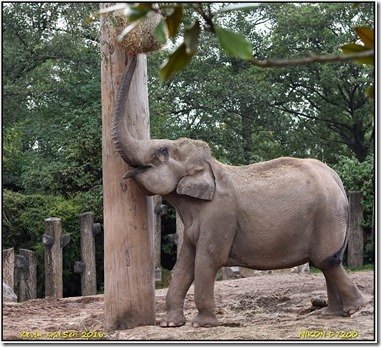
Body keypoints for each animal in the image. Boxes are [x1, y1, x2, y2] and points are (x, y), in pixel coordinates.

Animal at [110, 55, 362, 328]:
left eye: (162, 152)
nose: (135, 55)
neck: (211, 166)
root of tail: (336, 178)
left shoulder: (219, 216)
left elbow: (207, 261)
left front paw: (202, 324)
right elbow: (185, 264)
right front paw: (170, 325)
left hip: (327, 217)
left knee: (327, 261)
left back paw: (353, 309)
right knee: (329, 263)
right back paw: (332, 314)